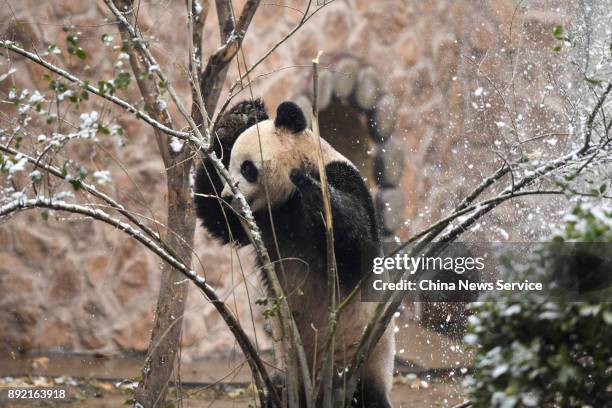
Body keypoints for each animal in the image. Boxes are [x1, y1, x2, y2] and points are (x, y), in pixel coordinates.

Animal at [196, 99, 396, 408]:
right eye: (229, 166)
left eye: (247, 167)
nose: (229, 196)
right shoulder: (261, 219)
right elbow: (217, 217)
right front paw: (240, 115)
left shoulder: (343, 177)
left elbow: (356, 249)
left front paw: (312, 189)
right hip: (294, 371)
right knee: (282, 389)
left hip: (364, 359)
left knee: (367, 397)